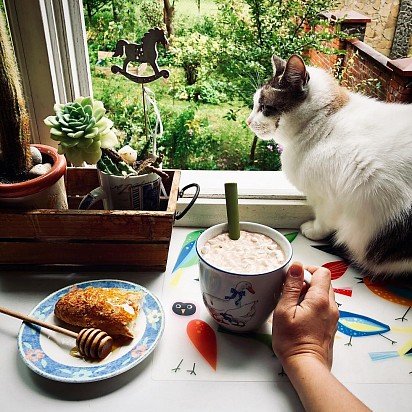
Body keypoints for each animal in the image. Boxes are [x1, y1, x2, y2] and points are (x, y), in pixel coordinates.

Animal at [248, 52, 412, 276]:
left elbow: (323, 221)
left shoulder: (329, 198)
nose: (248, 121)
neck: (322, 121)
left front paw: (311, 230)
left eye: (264, 108)